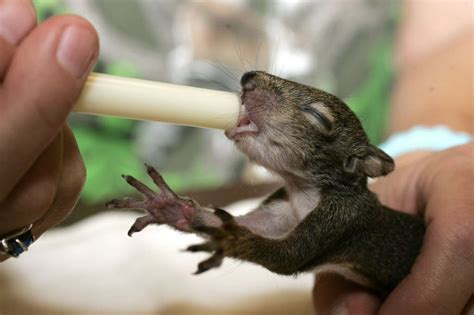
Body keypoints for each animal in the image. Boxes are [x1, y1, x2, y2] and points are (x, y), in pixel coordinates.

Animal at [106, 71, 426, 298]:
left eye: (319, 117)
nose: (249, 78)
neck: (303, 192)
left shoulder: (339, 220)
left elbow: (286, 256)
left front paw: (233, 239)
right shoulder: (282, 205)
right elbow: (250, 225)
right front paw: (171, 207)